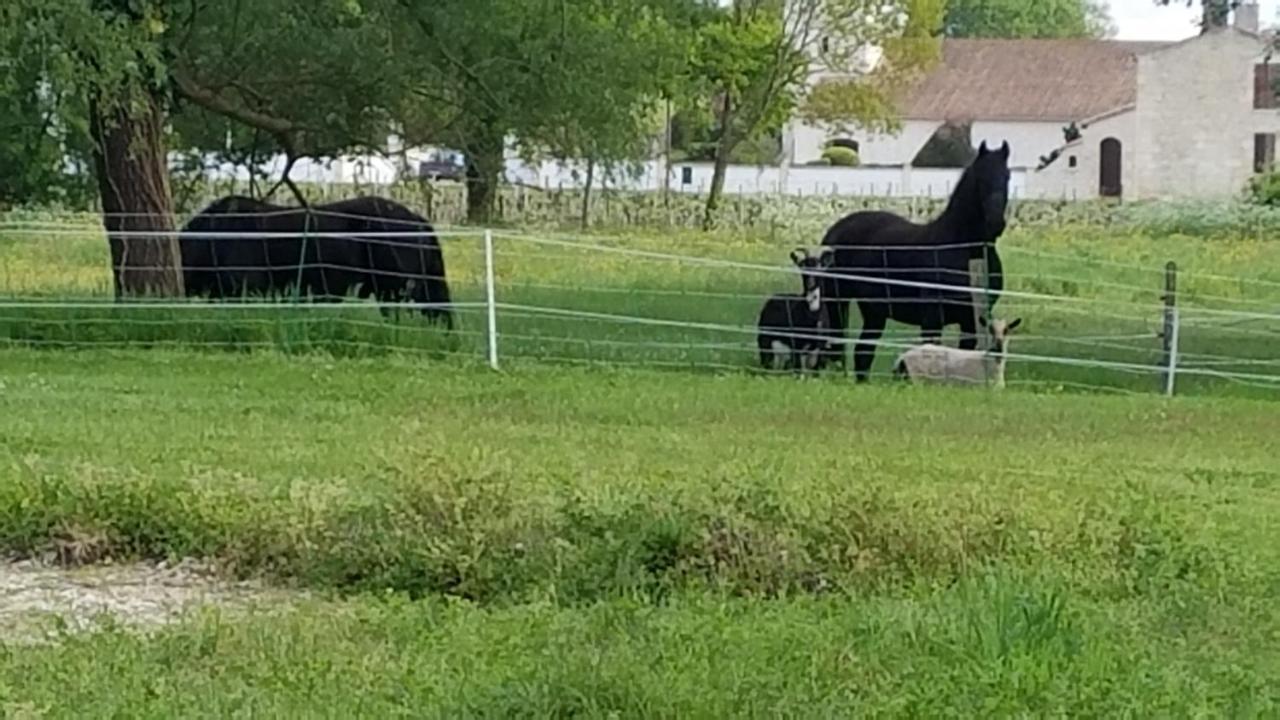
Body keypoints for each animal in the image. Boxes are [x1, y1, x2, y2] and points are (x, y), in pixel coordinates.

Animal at [819, 139, 1008, 381]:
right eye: (981, 178)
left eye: (1007, 177)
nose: (996, 223)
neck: (962, 250)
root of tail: (835, 230)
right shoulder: (932, 319)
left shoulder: (971, 320)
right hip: (837, 302)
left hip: (874, 311)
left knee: (863, 353)